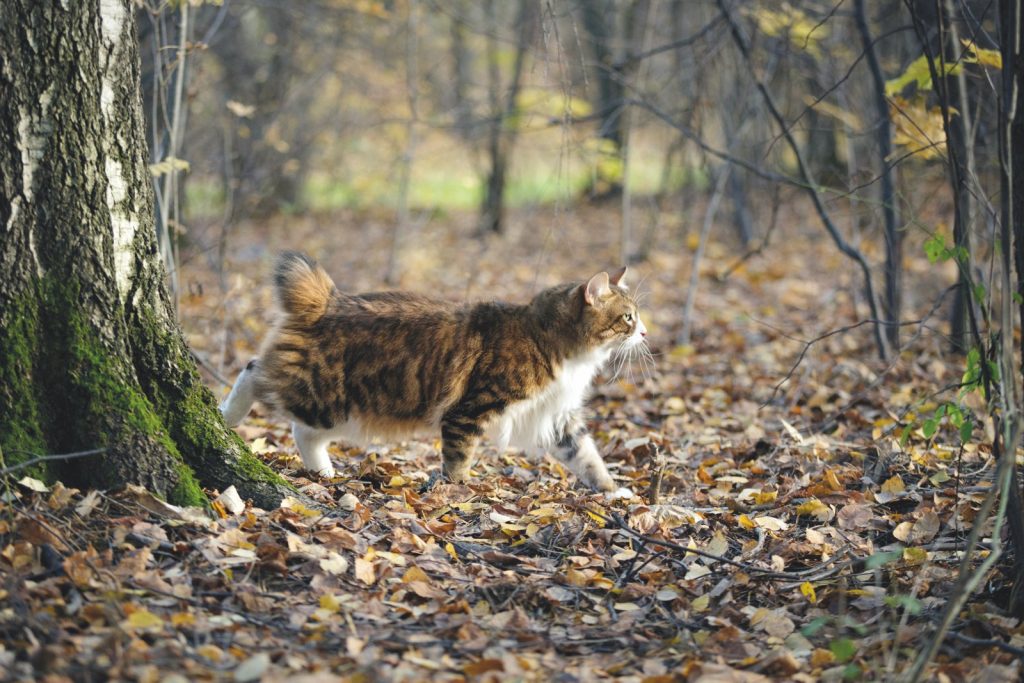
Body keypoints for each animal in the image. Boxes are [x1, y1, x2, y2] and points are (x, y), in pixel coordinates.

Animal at [219, 253, 647, 499]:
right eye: (628, 317)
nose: (644, 333)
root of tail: (326, 301)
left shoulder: (558, 417)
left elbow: (589, 457)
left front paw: (613, 492)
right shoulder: (470, 410)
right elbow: (458, 460)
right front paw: (455, 493)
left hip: (339, 410)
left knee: (303, 432)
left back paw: (323, 472)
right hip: (318, 393)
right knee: (253, 373)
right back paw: (225, 416)